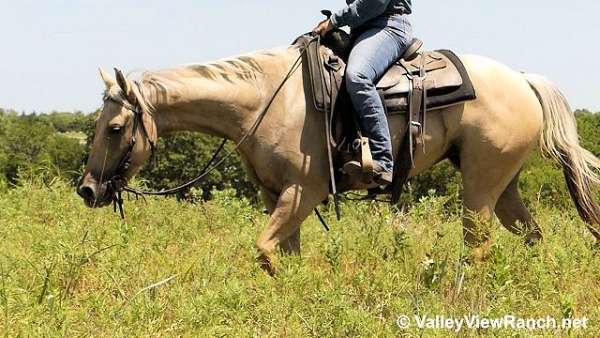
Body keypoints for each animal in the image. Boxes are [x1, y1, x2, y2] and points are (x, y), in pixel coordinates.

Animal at [77, 43, 600, 274]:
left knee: (478, 245)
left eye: (116, 128)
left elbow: (263, 248)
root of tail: (523, 79)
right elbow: (278, 253)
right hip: (502, 184)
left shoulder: (304, 192)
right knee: (531, 236)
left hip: (478, 187)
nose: (87, 189)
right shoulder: (277, 197)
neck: (267, 99)